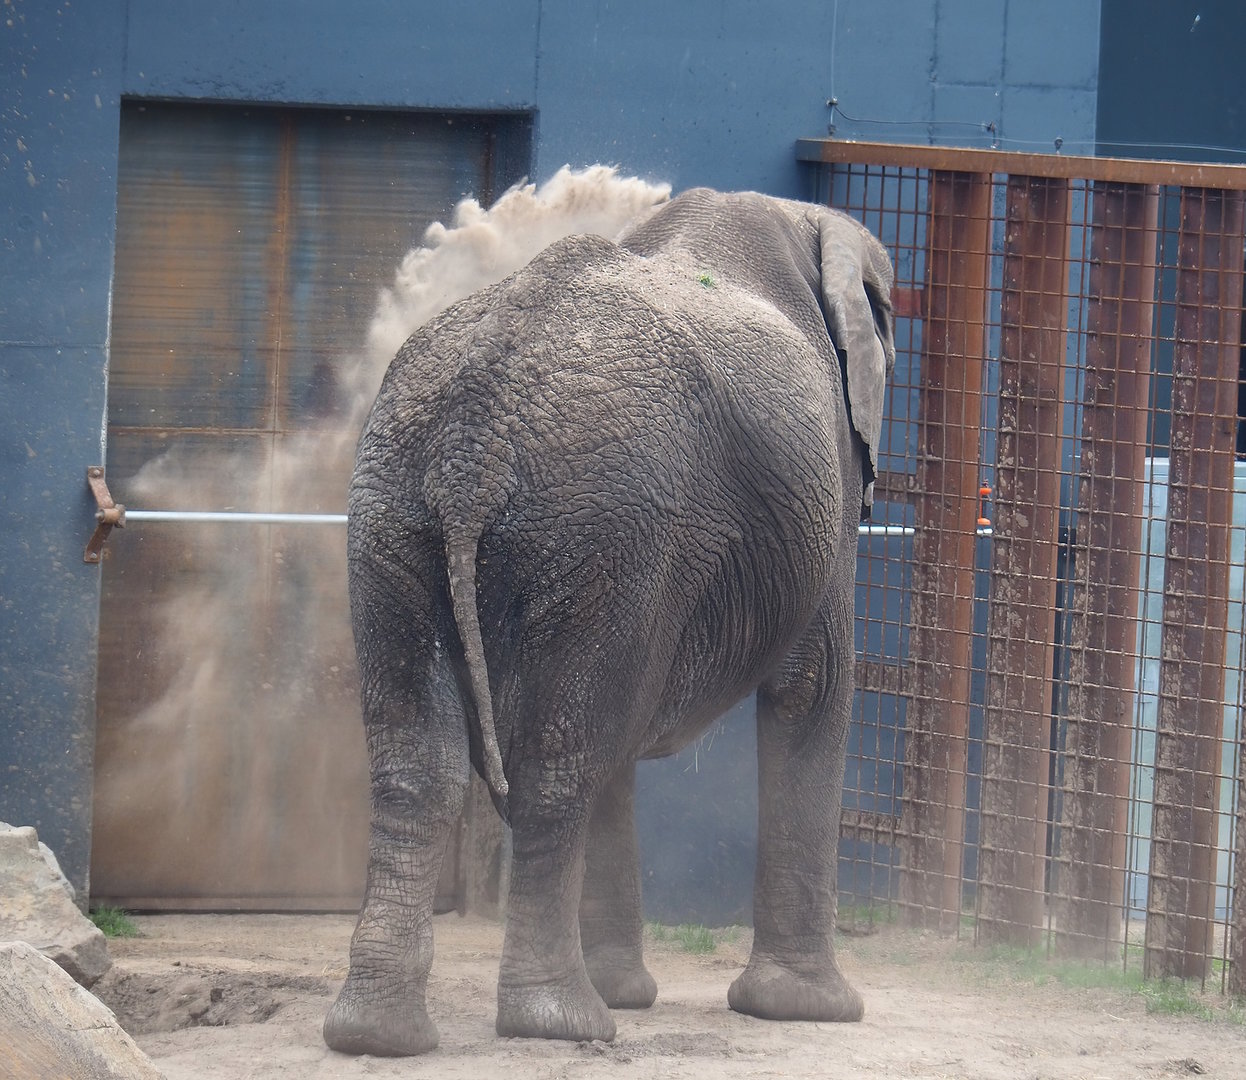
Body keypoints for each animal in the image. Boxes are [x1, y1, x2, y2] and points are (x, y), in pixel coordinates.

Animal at [323, 186, 895, 1056]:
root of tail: (475, 434)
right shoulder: (823, 483)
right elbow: (812, 687)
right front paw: (809, 1011)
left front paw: (634, 992)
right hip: (601, 526)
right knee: (558, 763)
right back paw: (562, 1022)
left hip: (397, 513)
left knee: (421, 761)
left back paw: (377, 1036)